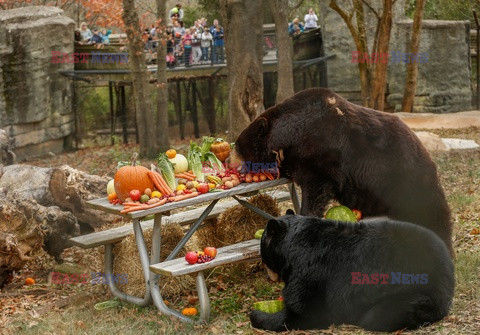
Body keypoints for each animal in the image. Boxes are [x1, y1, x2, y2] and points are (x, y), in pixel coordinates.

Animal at [233, 87, 454, 258]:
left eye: (237, 148)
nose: (229, 162)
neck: (290, 136)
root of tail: (429, 158)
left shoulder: (321, 154)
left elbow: (317, 188)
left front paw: (304, 215)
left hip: (409, 183)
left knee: (432, 216)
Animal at [249, 214, 456, 332]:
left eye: (262, 251)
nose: (269, 276)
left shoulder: (311, 271)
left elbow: (304, 311)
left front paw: (256, 314)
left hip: (413, 290)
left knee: (382, 315)